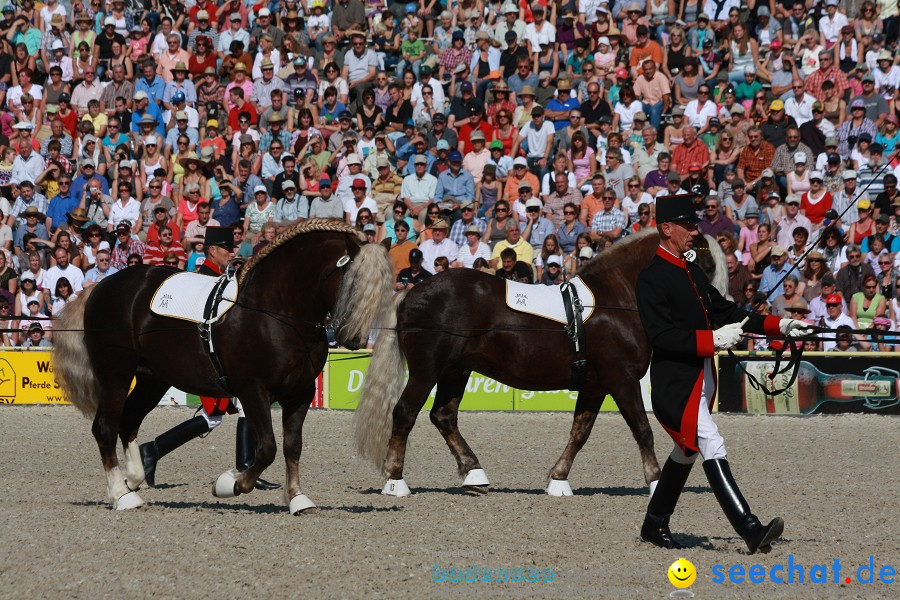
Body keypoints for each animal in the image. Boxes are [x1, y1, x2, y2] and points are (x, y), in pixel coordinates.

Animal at [53, 220, 394, 510]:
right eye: (352, 281)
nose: (353, 338)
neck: (275, 311)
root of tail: (102, 286)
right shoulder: (252, 389)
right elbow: (267, 447)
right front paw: (230, 484)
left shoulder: (300, 392)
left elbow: (292, 446)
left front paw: (297, 498)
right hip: (116, 374)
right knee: (105, 427)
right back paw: (121, 495)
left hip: (153, 379)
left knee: (128, 421)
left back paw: (135, 477)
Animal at [356, 230, 728, 496]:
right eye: (705, 261)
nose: (718, 313)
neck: (617, 300)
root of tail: (412, 291)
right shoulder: (621, 379)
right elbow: (642, 430)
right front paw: (654, 481)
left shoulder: (595, 385)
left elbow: (580, 432)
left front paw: (558, 479)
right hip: (427, 371)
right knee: (405, 413)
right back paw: (396, 480)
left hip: (455, 371)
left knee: (443, 416)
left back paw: (474, 473)